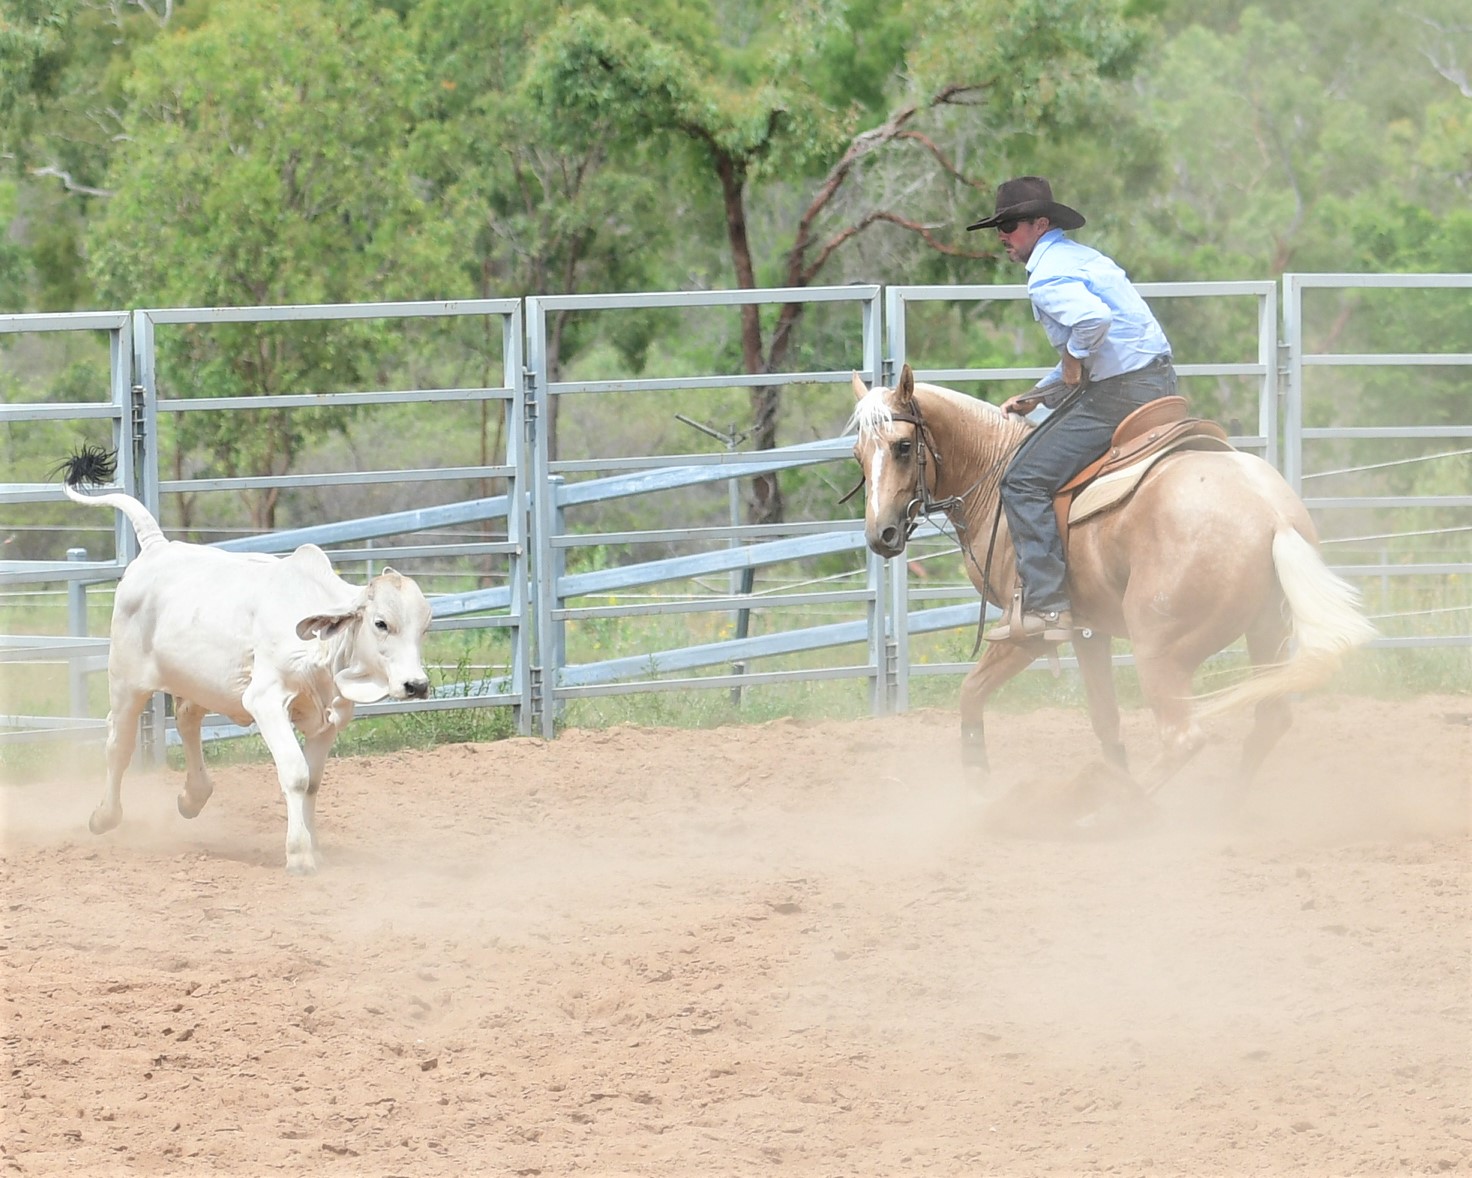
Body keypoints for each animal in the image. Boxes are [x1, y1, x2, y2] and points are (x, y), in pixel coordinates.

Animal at [59, 446, 433, 874]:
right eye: (381, 623)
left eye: (425, 627)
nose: (416, 685)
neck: (323, 648)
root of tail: (157, 547)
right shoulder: (266, 700)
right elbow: (296, 774)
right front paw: (299, 854)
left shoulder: (329, 719)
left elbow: (313, 781)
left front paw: (313, 846)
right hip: (125, 681)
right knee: (118, 744)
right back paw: (105, 816)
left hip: (196, 682)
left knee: (186, 720)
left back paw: (193, 796)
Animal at [848, 364, 1377, 795]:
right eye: (857, 454)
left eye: (902, 446)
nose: (881, 534)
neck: (994, 478)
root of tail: (1273, 516)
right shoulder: (1087, 628)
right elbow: (1104, 717)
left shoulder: (1027, 631)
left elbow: (971, 691)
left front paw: (977, 775)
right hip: (1267, 633)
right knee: (1269, 719)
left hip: (1160, 648)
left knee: (1182, 738)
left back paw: (1111, 811)